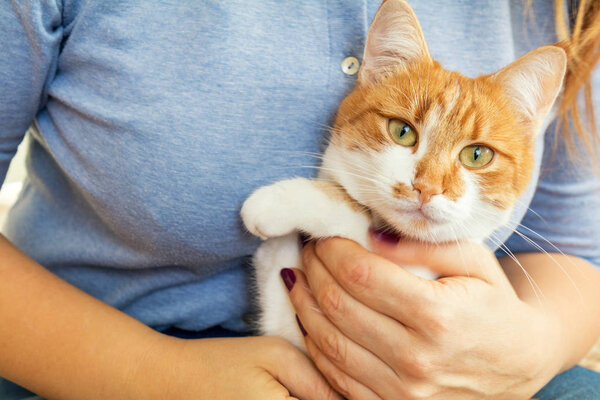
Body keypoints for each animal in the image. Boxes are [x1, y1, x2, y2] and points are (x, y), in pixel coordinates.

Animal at [240, 0, 568, 350]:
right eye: (402, 131)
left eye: (477, 155)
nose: (426, 187)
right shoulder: (289, 329)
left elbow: (353, 214)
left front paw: (279, 202)